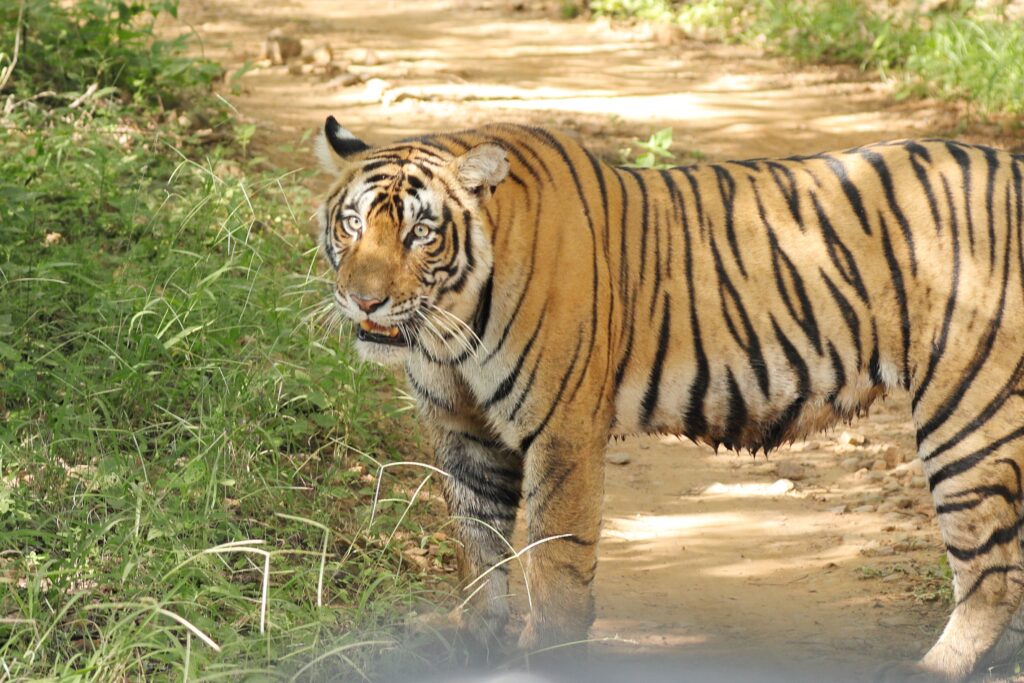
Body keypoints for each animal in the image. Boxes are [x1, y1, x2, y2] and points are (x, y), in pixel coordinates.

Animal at [311, 117, 1024, 683]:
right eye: (352, 224)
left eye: (420, 233)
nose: (365, 302)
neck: (448, 328)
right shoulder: (463, 434)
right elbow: (477, 548)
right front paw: (473, 646)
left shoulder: (562, 429)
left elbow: (554, 559)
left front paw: (546, 659)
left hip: (968, 412)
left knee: (991, 569)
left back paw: (935, 668)